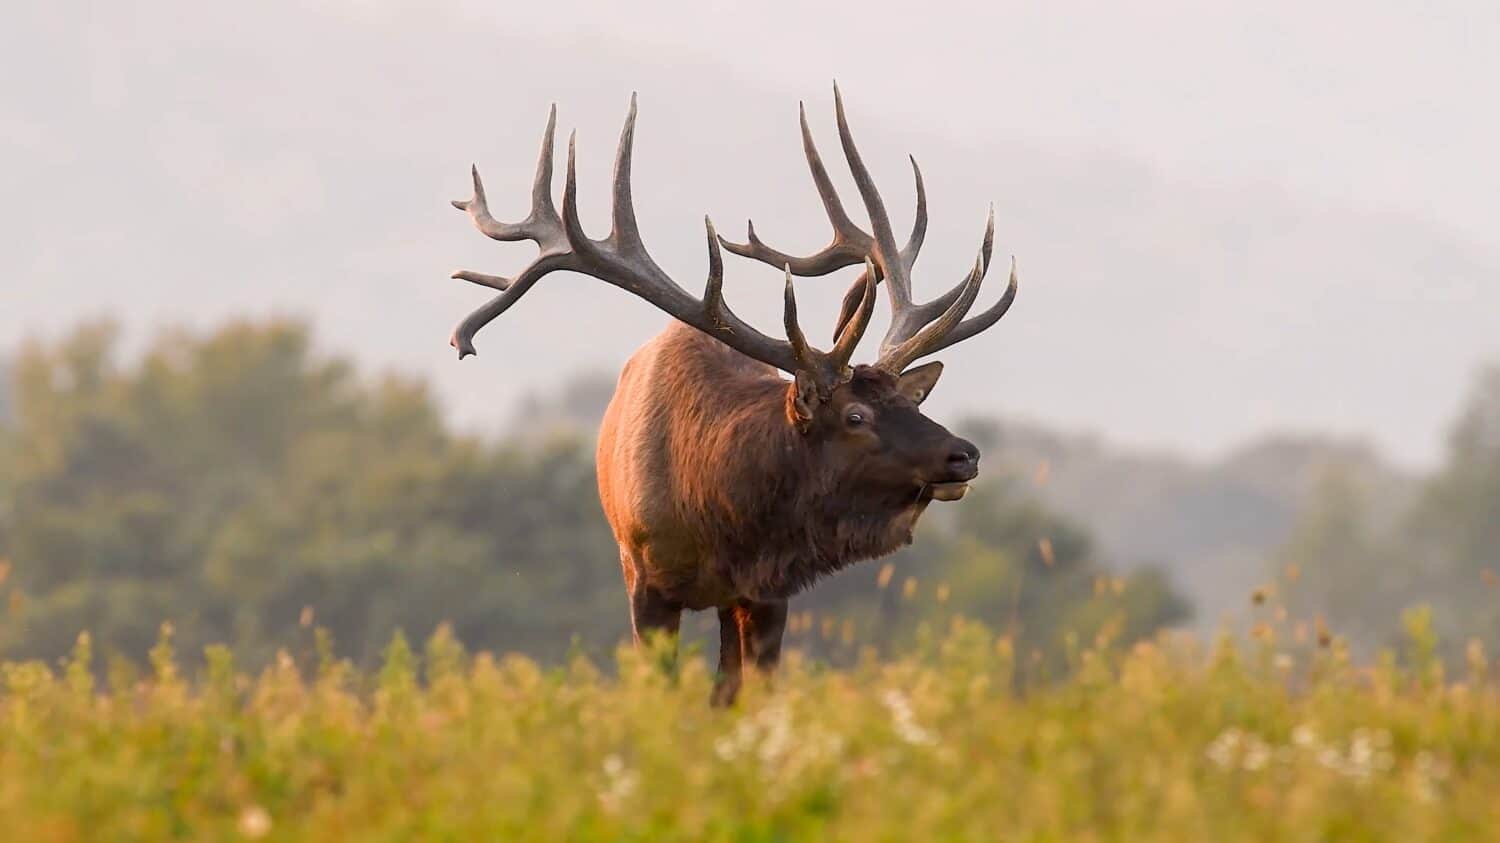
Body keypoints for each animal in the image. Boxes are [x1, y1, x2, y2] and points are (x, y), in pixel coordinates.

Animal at [438, 85, 1014, 702]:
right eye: (855, 416)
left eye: (911, 401)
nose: (964, 454)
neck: (716, 517)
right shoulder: (647, 581)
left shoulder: (767, 592)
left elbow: (744, 694)